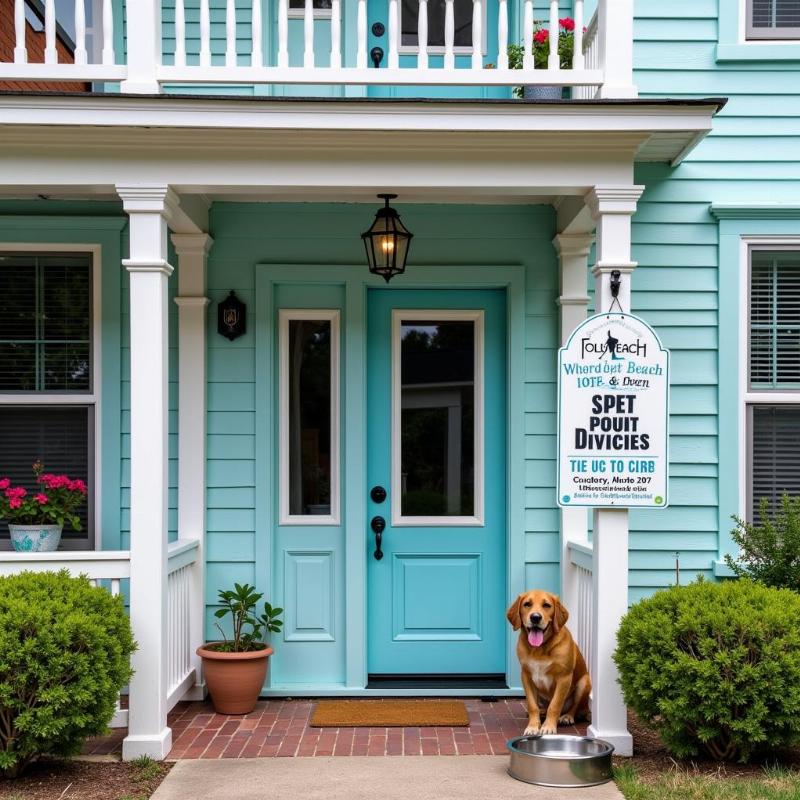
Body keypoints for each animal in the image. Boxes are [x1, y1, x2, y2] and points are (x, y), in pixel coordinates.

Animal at [510, 592, 592, 736]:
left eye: (546, 605)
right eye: (527, 604)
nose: (535, 617)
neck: (539, 649)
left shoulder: (564, 678)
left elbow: (555, 705)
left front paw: (548, 726)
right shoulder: (526, 676)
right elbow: (532, 705)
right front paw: (533, 726)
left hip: (584, 683)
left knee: (575, 708)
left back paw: (567, 717)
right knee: (542, 707)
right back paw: (542, 712)